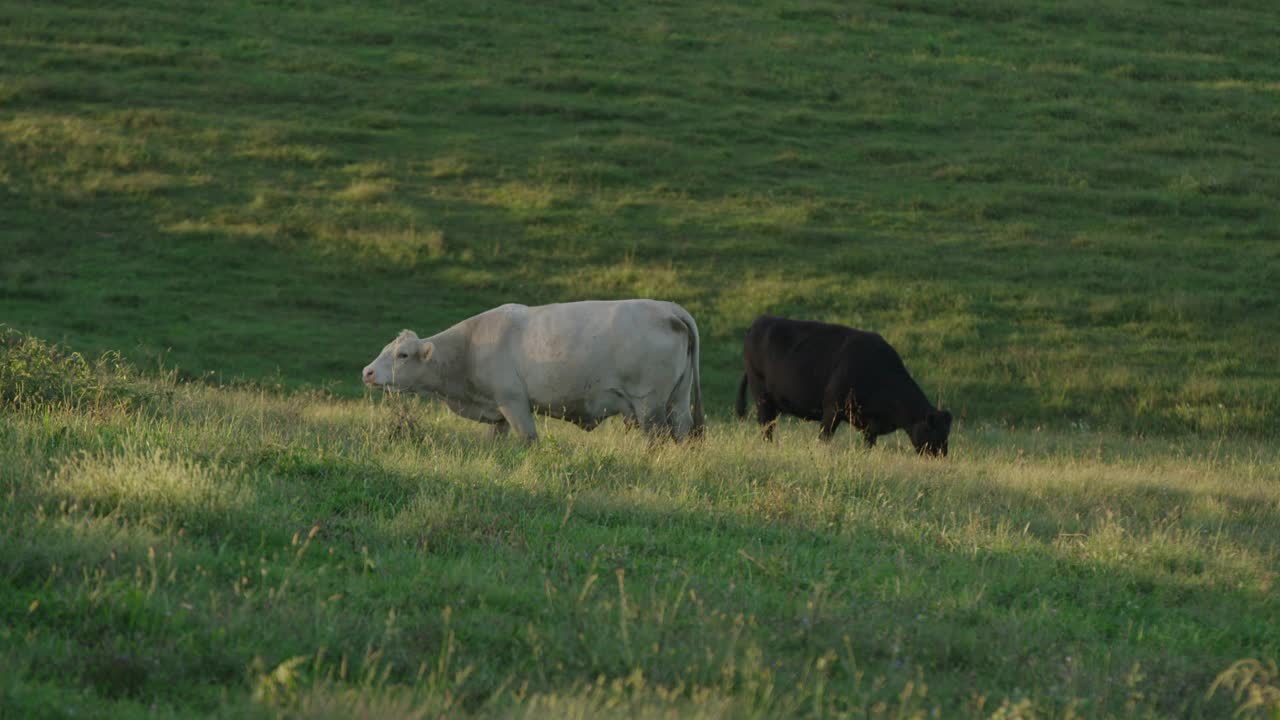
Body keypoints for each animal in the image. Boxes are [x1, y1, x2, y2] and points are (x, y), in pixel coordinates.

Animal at [360, 298, 706, 443]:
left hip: (649, 404)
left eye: (403, 354)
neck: (471, 347)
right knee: (683, 431)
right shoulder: (496, 410)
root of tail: (668, 308)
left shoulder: (513, 402)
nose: (367, 372)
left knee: (657, 437)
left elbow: (528, 439)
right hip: (678, 399)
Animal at [742, 313, 952, 453]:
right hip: (762, 398)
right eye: (934, 433)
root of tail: (760, 321)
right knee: (766, 428)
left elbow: (868, 446)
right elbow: (824, 438)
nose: (940, 456)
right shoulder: (832, 410)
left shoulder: (871, 426)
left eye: (947, 434)